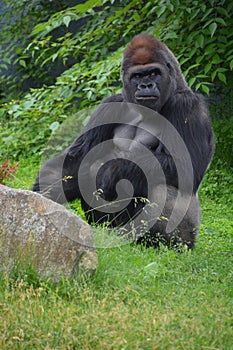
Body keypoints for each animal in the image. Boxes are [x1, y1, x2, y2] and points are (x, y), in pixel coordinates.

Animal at [33, 32, 215, 246]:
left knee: (161, 187)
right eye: (137, 76)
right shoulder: (109, 104)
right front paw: (42, 194)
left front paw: (111, 170)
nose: (146, 85)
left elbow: (185, 167)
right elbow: (77, 158)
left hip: (188, 234)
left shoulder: (188, 106)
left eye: (154, 73)